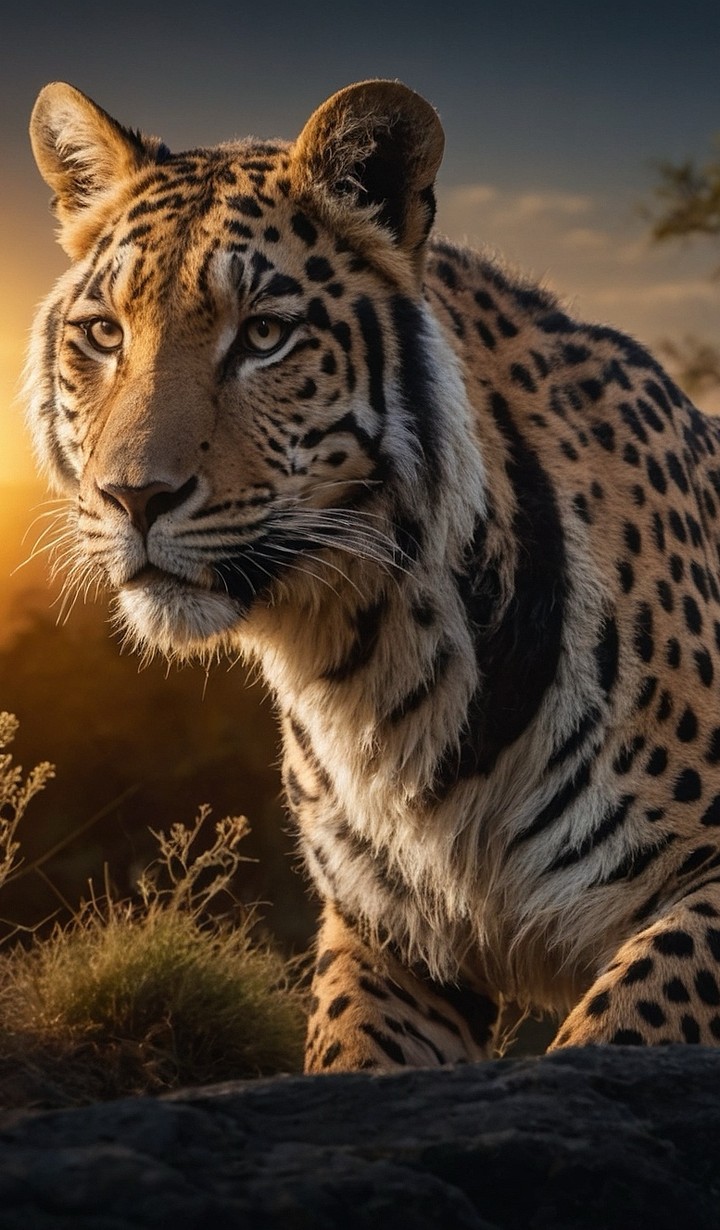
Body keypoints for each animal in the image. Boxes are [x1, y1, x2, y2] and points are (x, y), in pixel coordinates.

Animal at [25, 77, 720, 1071]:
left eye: (265, 335)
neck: (371, 662)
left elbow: (624, 1020)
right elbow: (346, 1051)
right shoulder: (385, 938)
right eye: (103, 334)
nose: (133, 497)